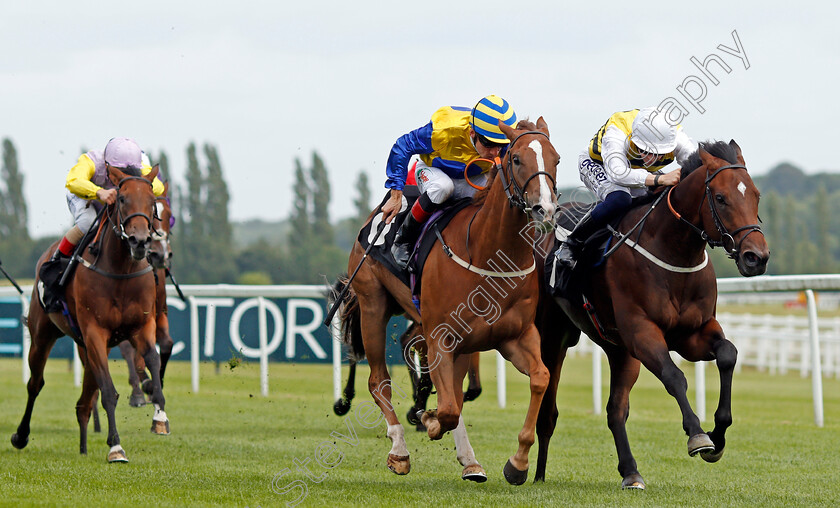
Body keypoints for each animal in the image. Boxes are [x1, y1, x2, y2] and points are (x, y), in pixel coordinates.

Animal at [118, 181, 176, 406]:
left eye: (168, 215)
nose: (160, 254)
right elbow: (135, 353)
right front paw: (145, 384)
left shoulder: (159, 312)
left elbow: (166, 344)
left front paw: (158, 385)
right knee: (128, 349)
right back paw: (137, 392)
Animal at [338, 118, 560, 484]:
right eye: (515, 159)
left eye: (555, 159)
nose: (546, 208)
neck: (487, 253)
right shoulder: (440, 335)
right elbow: (447, 408)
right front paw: (425, 419)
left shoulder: (515, 336)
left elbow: (539, 378)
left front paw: (517, 464)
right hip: (373, 305)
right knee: (379, 382)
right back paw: (399, 450)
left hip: (460, 340)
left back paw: (469, 461)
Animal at [540, 141, 768, 490]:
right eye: (720, 198)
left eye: (755, 194)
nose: (756, 257)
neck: (674, 252)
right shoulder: (642, 331)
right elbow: (675, 377)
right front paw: (698, 435)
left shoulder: (693, 333)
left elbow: (728, 354)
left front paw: (718, 435)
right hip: (553, 335)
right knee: (546, 404)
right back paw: (527, 471)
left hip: (619, 350)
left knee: (615, 410)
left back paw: (630, 472)